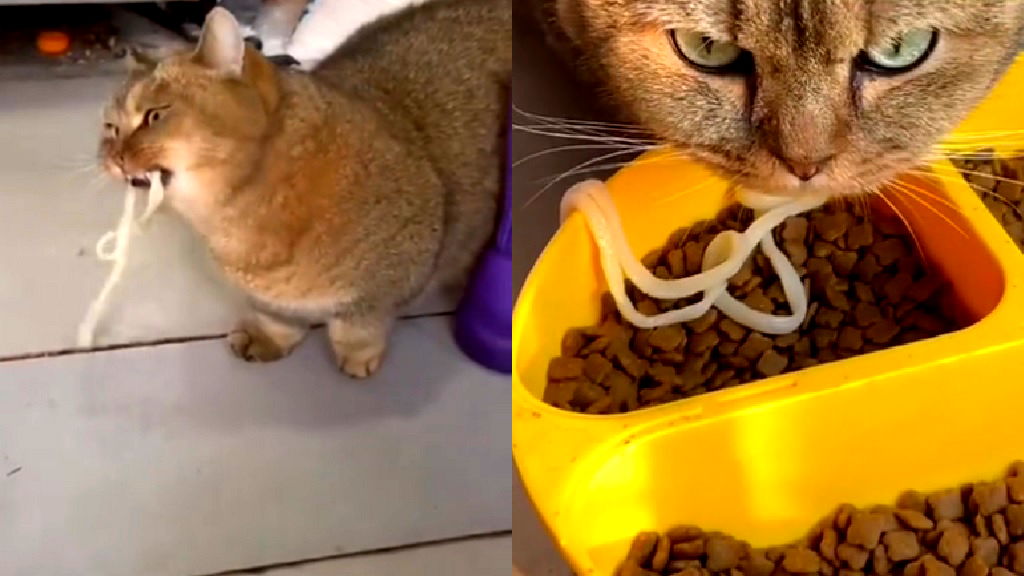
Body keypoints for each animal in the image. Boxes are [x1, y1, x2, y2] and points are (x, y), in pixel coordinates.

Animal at [99, 0, 507, 375]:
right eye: (111, 129)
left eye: (155, 115)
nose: (113, 157)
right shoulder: (270, 296)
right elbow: (277, 316)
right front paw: (270, 337)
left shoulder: (399, 274)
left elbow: (360, 324)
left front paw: (357, 353)